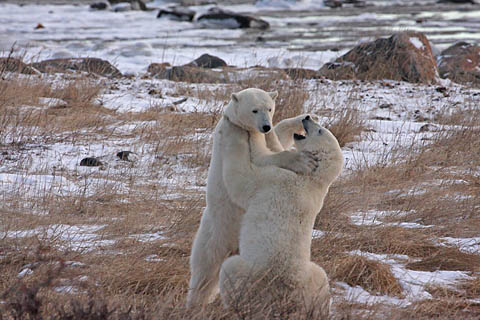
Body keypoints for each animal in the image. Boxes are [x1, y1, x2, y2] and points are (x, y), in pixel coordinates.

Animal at [186, 87, 316, 308]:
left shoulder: (263, 134)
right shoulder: (234, 135)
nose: (265, 126)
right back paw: (195, 302)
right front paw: (302, 161)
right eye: (254, 110)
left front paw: (303, 118)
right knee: (205, 268)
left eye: (270, 108)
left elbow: (277, 137)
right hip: (216, 232)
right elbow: (259, 160)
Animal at [218, 115, 344, 318]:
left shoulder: (274, 180)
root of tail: (284, 300)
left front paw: (241, 131)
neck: (311, 180)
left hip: (251, 277)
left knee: (230, 269)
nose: (307, 118)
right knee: (321, 277)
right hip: (313, 282)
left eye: (320, 131)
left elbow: (240, 177)